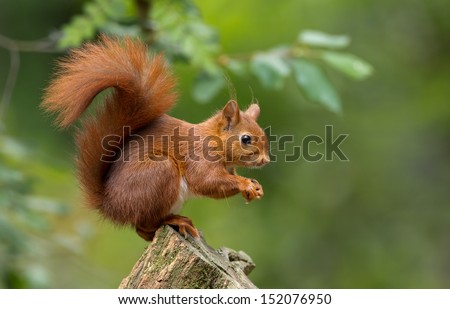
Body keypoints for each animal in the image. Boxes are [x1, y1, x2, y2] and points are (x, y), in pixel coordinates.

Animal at [42, 35, 268, 239]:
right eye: (246, 139)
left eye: (264, 135)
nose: (266, 160)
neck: (214, 139)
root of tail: (110, 206)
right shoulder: (199, 156)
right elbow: (206, 181)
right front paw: (245, 183)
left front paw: (255, 186)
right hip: (159, 172)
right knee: (143, 226)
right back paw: (175, 220)